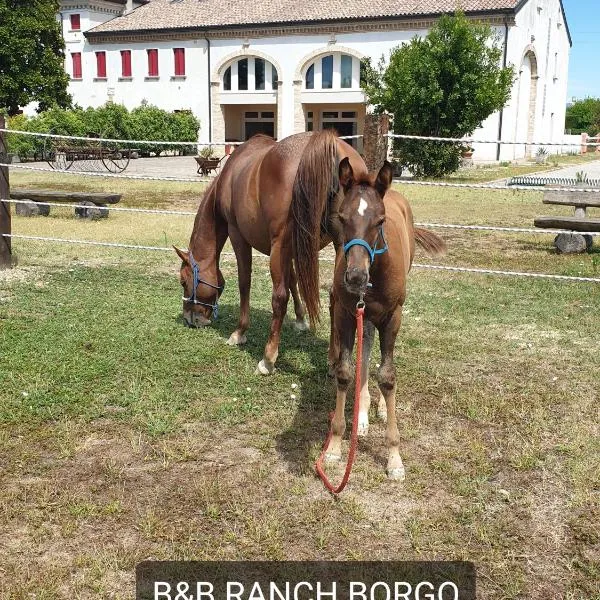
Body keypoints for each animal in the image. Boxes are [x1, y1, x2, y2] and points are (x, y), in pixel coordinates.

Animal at [176, 132, 368, 376]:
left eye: (184, 281)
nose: (190, 319)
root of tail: (328, 144)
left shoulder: (239, 236)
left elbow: (245, 283)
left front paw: (239, 332)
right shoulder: (292, 250)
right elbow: (293, 280)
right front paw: (300, 319)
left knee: (279, 297)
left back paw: (268, 359)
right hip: (340, 245)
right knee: (335, 294)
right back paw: (334, 359)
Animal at [304, 157, 446, 480]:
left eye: (380, 221)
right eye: (342, 217)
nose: (356, 277)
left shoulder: (393, 317)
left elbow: (388, 376)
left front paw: (394, 457)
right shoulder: (347, 313)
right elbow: (346, 371)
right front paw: (335, 446)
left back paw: (379, 408)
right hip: (365, 315)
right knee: (367, 344)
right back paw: (363, 413)